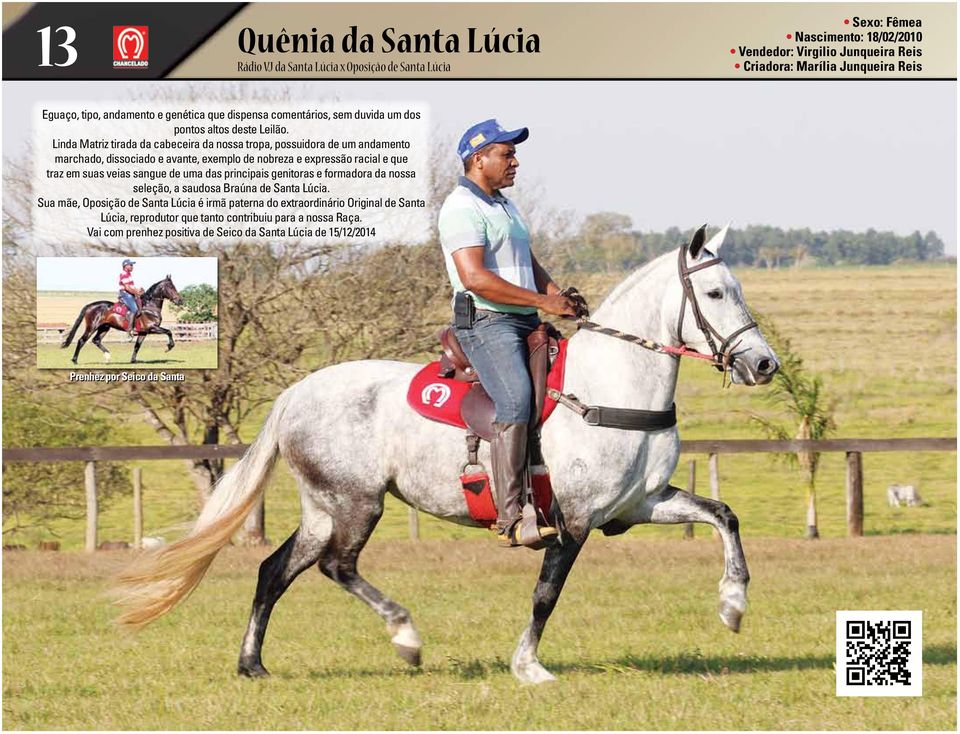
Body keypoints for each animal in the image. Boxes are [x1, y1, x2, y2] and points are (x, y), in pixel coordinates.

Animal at [118, 227, 780, 688]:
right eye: (715, 292)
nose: (764, 364)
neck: (610, 387)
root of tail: (295, 394)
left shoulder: (639, 505)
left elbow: (723, 515)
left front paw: (733, 605)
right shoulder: (573, 521)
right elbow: (546, 594)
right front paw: (528, 666)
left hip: (323, 508)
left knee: (275, 570)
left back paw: (252, 664)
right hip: (357, 504)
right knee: (337, 567)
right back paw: (405, 635)